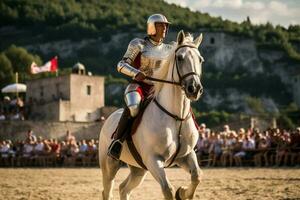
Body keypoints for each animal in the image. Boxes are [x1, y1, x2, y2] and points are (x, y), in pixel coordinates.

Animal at [99, 30, 205, 200]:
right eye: (180, 57)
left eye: (200, 59)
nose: (194, 88)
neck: (176, 118)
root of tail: (109, 118)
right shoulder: (154, 160)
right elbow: (167, 189)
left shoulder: (186, 156)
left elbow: (197, 176)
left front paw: (182, 192)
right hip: (109, 164)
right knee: (108, 190)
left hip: (138, 169)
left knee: (124, 188)